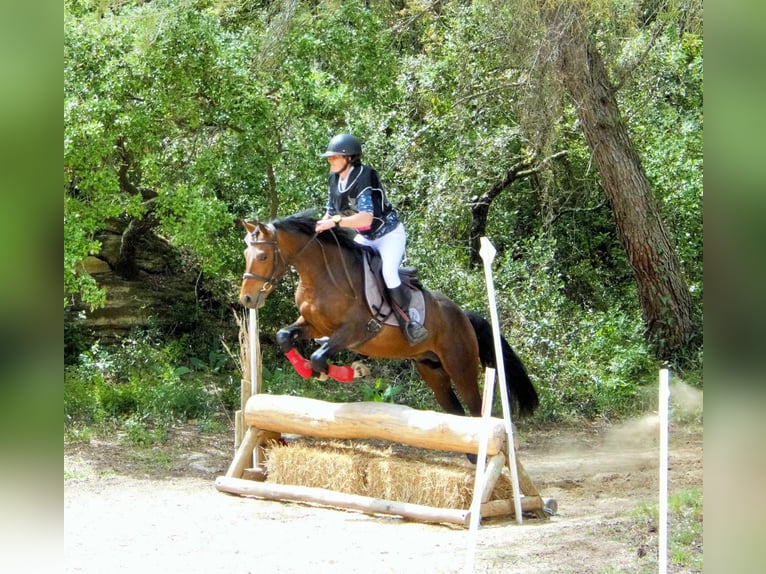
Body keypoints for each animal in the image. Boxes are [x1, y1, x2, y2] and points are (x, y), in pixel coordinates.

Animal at [240, 210, 540, 424]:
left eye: (263, 256)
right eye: (246, 253)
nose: (247, 299)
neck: (321, 275)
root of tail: (463, 316)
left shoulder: (357, 330)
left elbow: (319, 355)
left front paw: (349, 371)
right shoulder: (313, 326)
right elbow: (284, 336)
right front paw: (310, 371)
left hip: (460, 366)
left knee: (476, 410)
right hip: (432, 369)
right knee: (456, 412)